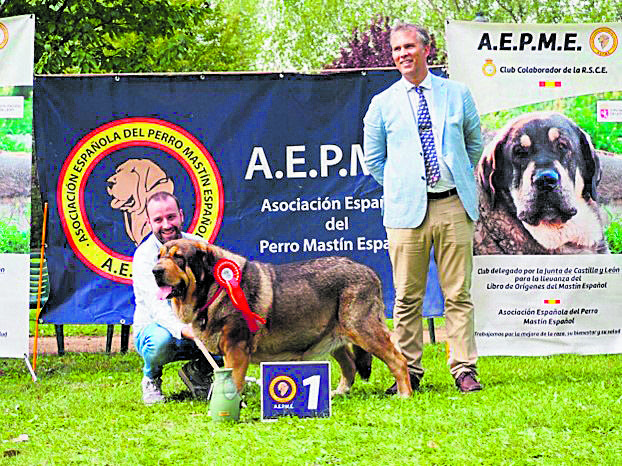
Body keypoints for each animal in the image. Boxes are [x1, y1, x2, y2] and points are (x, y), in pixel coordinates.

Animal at [152, 240, 414, 396]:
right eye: (159, 256)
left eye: (179, 258)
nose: (155, 271)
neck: (215, 286)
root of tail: (369, 271)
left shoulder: (236, 349)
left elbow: (234, 381)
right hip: (333, 335)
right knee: (349, 365)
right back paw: (339, 393)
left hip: (362, 330)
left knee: (398, 361)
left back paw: (404, 394)